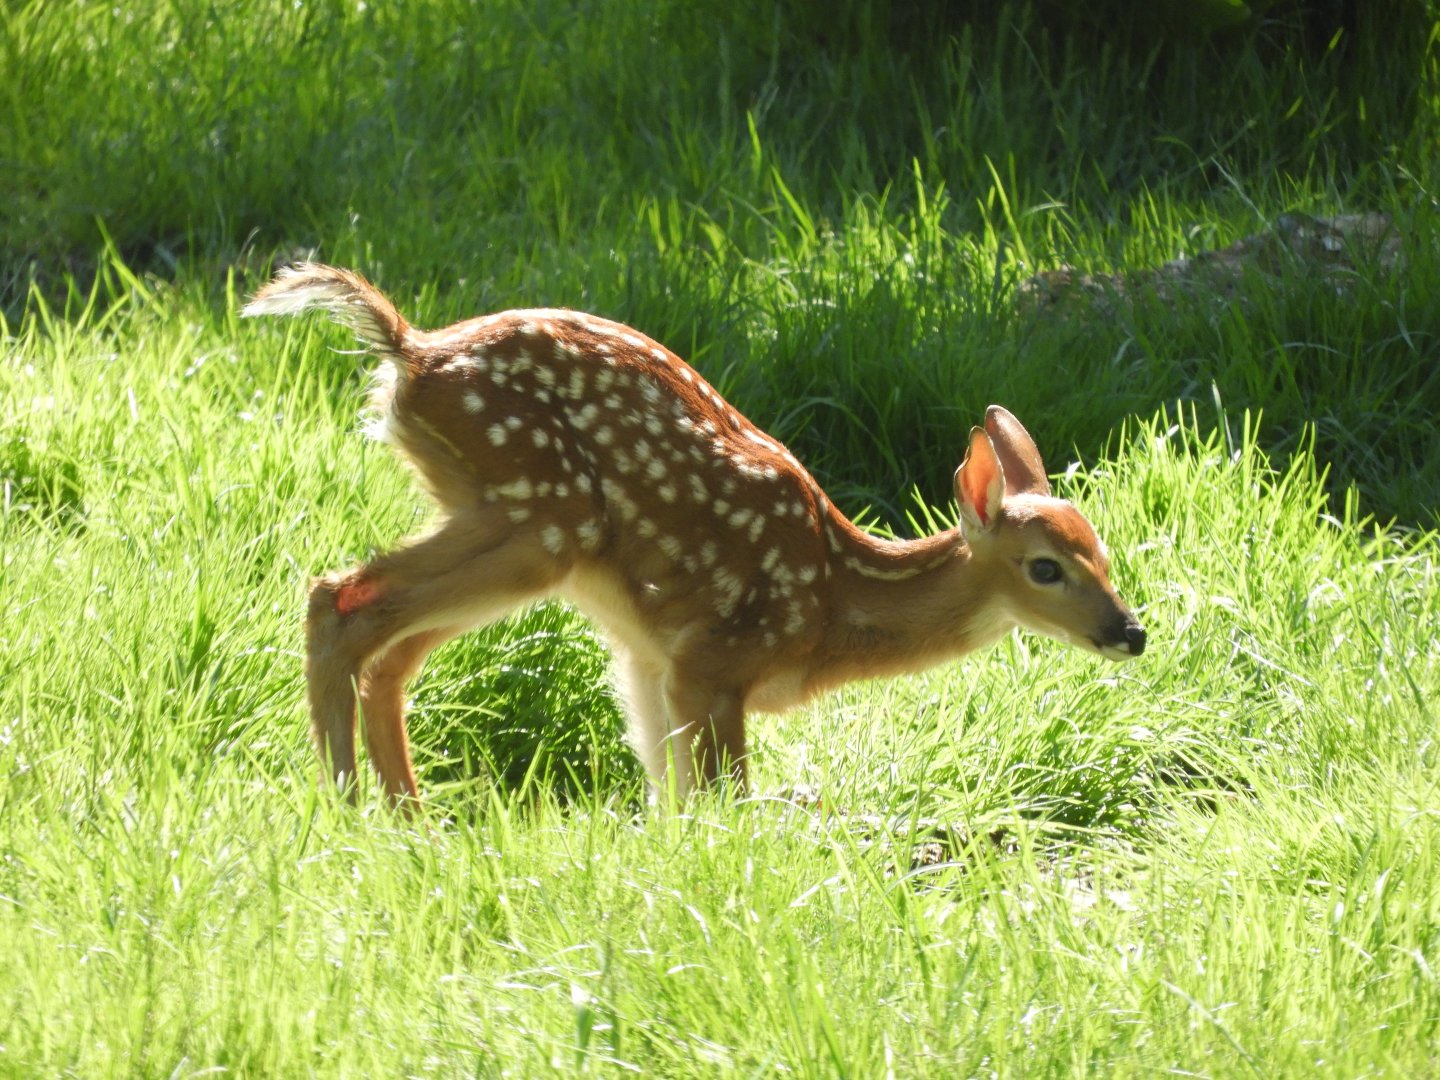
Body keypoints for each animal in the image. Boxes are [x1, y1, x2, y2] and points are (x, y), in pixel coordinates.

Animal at [243, 264, 1146, 812]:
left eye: (1102, 551)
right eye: (1045, 568)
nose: (1129, 632)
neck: (834, 605)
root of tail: (411, 351)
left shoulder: (654, 659)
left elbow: (669, 798)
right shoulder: (717, 660)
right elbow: (723, 802)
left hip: (497, 515)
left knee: (385, 645)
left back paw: (405, 818)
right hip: (543, 513)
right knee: (342, 599)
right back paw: (353, 811)